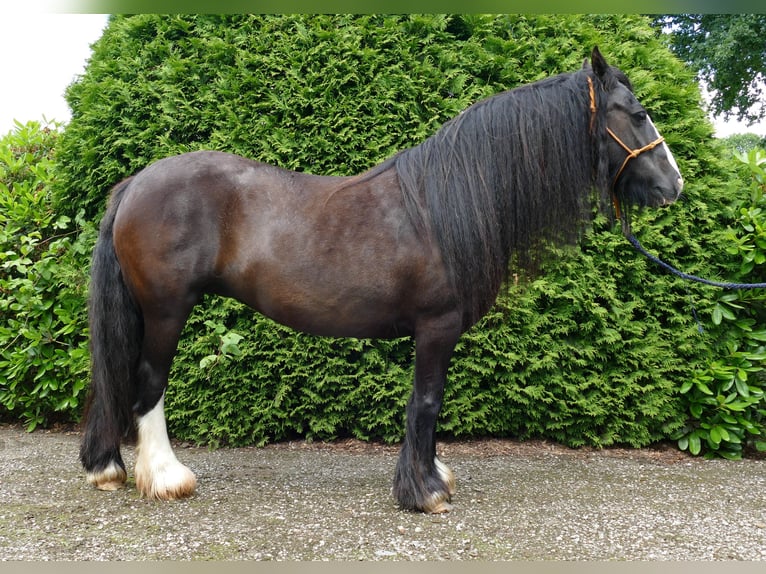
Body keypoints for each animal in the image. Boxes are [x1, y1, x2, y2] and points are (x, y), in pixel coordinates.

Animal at [81, 48, 688, 512]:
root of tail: (136, 183)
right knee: (147, 383)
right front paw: (425, 493)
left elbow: (427, 405)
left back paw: (108, 468)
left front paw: (434, 476)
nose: (675, 185)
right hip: (166, 309)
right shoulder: (437, 327)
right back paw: (166, 477)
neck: (447, 204)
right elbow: (427, 402)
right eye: (635, 113)